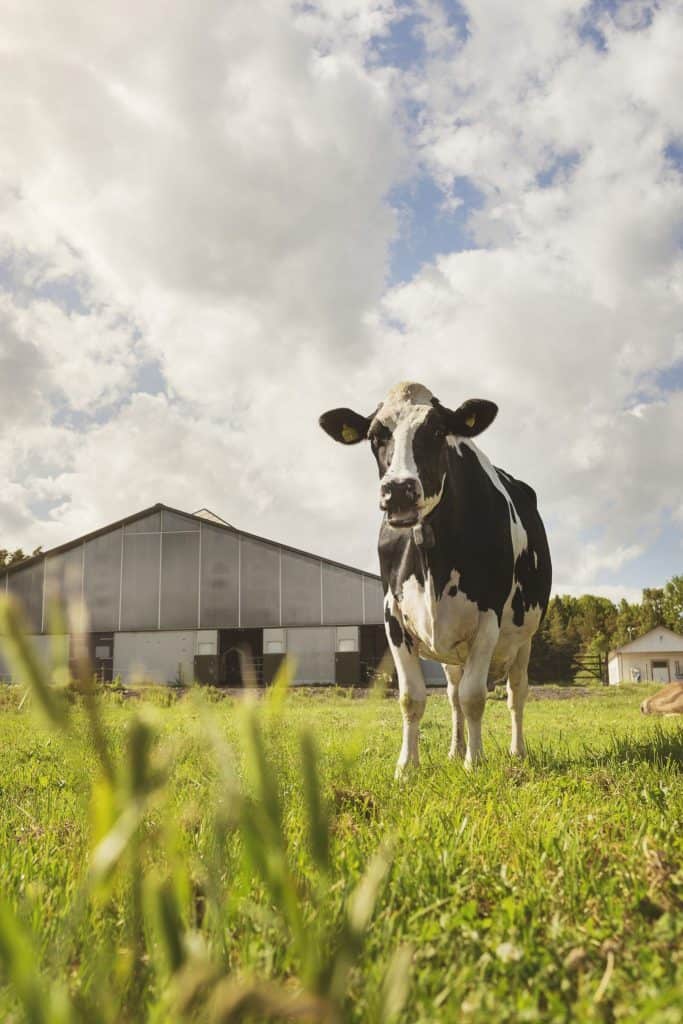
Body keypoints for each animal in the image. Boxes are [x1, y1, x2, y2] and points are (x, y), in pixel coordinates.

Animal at [319, 385, 548, 774]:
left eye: (439, 431)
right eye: (375, 436)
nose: (398, 489)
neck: (431, 557)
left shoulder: (488, 617)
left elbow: (475, 697)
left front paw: (475, 762)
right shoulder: (393, 617)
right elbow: (413, 697)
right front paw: (407, 766)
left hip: (523, 637)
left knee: (516, 693)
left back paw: (517, 751)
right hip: (452, 652)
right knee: (454, 694)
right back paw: (455, 750)